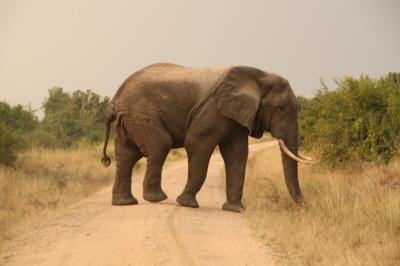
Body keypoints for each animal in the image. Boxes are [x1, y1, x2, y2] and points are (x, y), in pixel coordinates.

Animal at [101, 61, 314, 212]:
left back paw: (125, 203)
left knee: (126, 156)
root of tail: (114, 100)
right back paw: (157, 198)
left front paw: (235, 210)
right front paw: (187, 204)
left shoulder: (235, 116)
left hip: (128, 120)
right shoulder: (213, 110)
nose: (307, 207)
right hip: (140, 115)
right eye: (281, 108)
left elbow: (237, 154)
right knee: (160, 145)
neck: (259, 76)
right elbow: (196, 143)